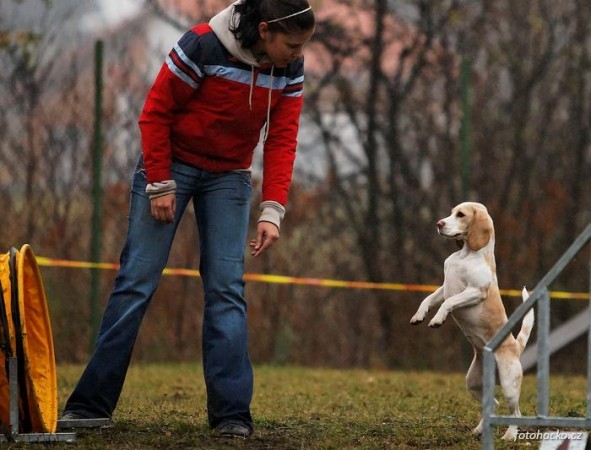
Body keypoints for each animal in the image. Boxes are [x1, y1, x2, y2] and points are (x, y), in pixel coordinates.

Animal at [412, 202, 536, 442]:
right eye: (452, 212)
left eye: (460, 215)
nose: (439, 224)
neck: (466, 255)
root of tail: (515, 346)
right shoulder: (444, 287)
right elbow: (428, 299)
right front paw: (419, 316)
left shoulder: (474, 291)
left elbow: (448, 302)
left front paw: (437, 319)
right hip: (473, 384)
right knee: (493, 404)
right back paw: (479, 430)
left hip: (509, 384)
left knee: (515, 411)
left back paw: (509, 435)